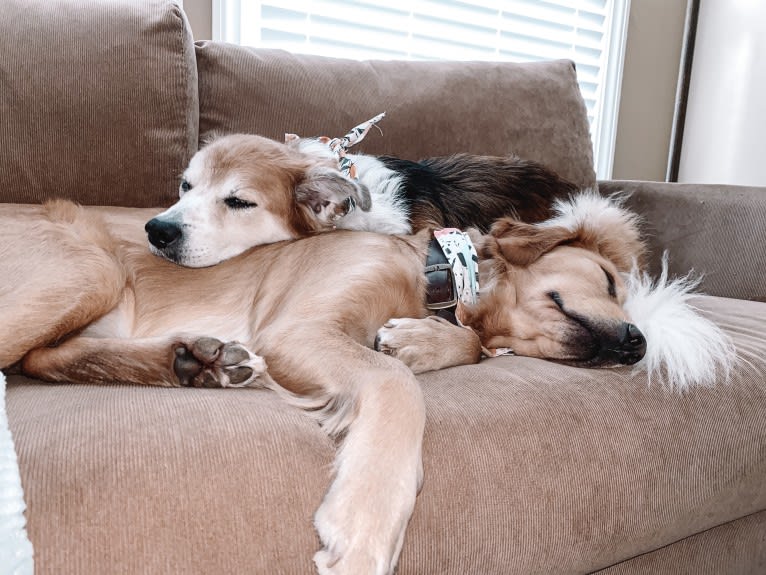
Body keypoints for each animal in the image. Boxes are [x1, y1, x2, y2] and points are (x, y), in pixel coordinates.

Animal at [0, 195, 728, 575]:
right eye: (608, 281)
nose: (637, 344)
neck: (432, 271)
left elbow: (452, 347)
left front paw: (419, 339)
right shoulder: (296, 329)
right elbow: (397, 384)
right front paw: (366, 525)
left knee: (47, 359)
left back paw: (193, 360)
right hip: (84, 266)